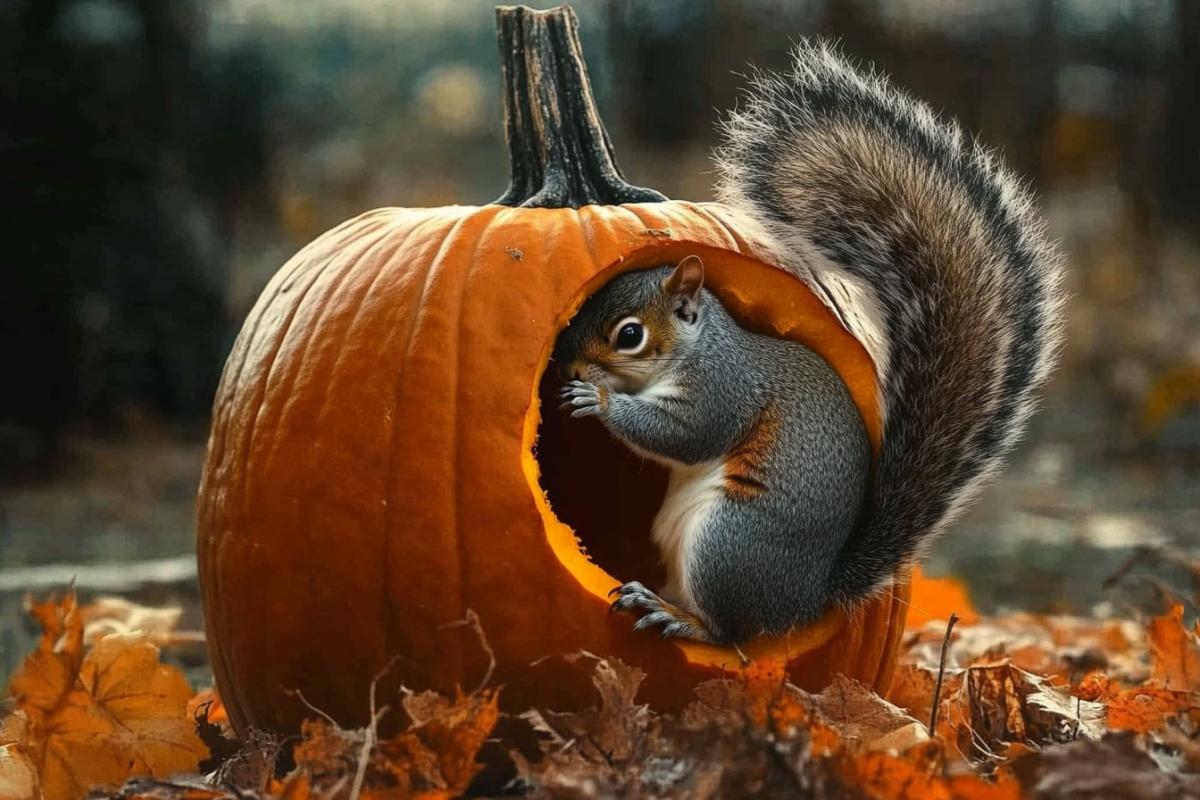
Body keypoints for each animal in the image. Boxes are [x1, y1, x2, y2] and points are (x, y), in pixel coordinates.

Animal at [553, 41, 1065, 646]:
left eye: (629, 335)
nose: (570, 367)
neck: (696, 346)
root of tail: (806, 599)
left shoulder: (723, 387)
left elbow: (686, 433)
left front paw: (598, 399)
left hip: (729, 542)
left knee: (731, 633)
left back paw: (677, 617)